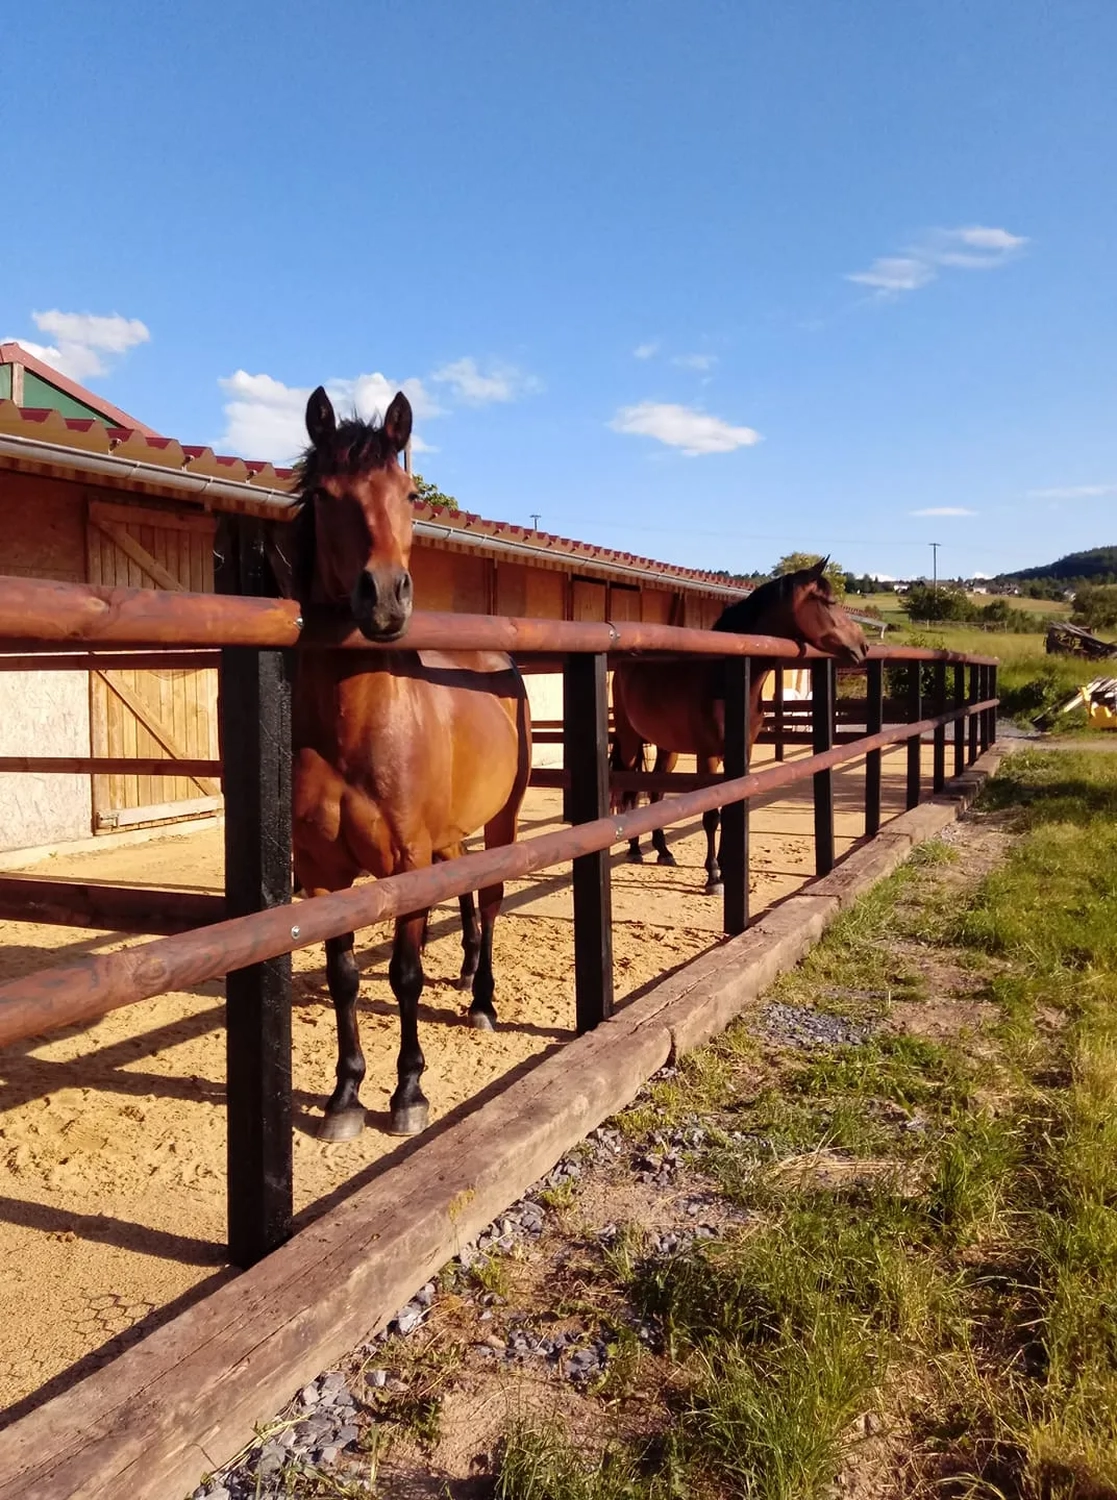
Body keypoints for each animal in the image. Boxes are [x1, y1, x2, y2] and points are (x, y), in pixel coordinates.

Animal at [287, 386, 532, 1140]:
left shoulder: (406, 863)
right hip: (448, 835)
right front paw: (343, 1098)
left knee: (492, 893)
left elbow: (403, 973)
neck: (358, 728)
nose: (387, 597)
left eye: (408, 493)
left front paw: (408, 1093)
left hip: (502, 819)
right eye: (327, 494)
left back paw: (482, 1000)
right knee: (470, 890)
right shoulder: (322, 873)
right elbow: (342, 975)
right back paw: (470, 972)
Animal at [610, 558, 868, 894]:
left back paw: (663, 851)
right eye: (828, 601)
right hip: (630, 739)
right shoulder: (708, 756)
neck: (725, 678)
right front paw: (713, 875)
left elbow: (732, 806)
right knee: (630, 790)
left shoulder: (741, 753)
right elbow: (711, 815)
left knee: (655, 793)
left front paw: (727, 868)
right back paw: (635, 849)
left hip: (668, 747)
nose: (863, 646)